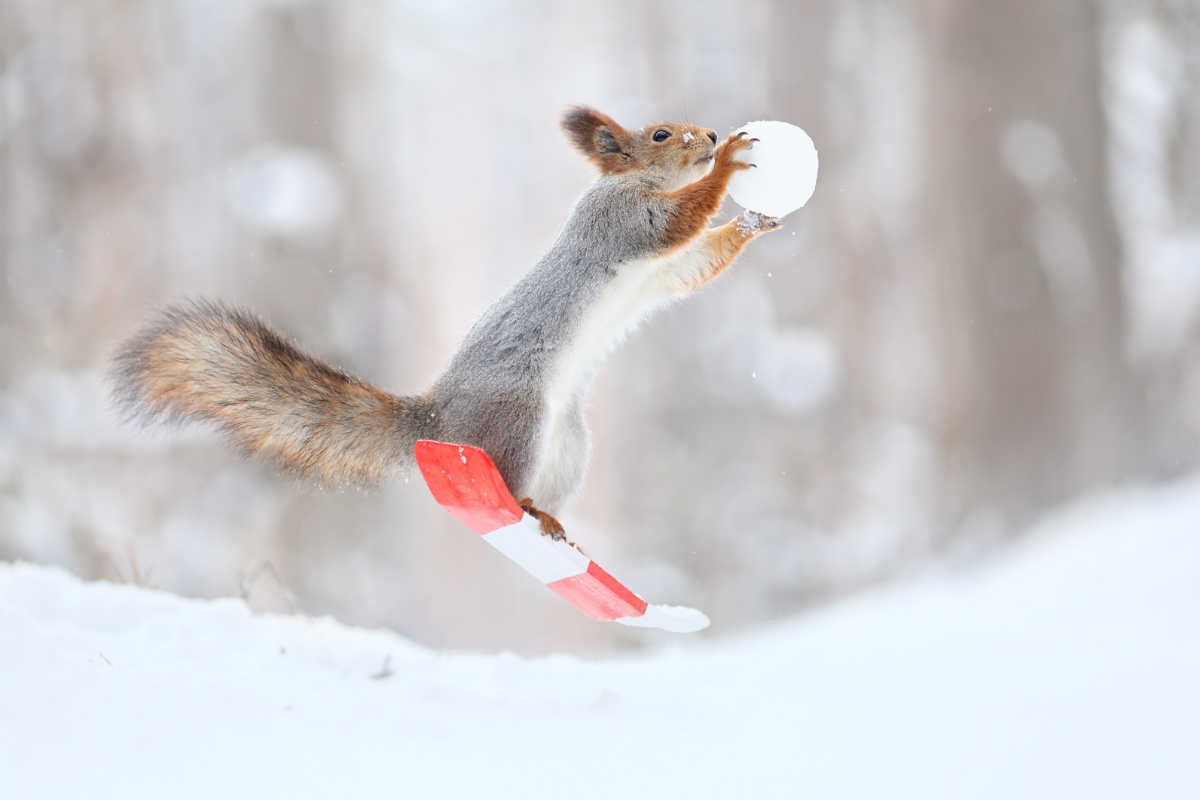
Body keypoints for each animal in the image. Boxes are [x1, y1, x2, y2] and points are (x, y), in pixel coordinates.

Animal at [112, 103, 777, 534]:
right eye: (662, 134)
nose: (711, 134)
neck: (640, 179)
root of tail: (439, 420)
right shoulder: (618, 219)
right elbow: (673, 223)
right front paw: (728, 164)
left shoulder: (660, 274)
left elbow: (693, 263)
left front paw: (754, 222)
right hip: (517, 422)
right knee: (504, 486)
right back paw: (525, 511)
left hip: (570, 446)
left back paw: (551, 520)